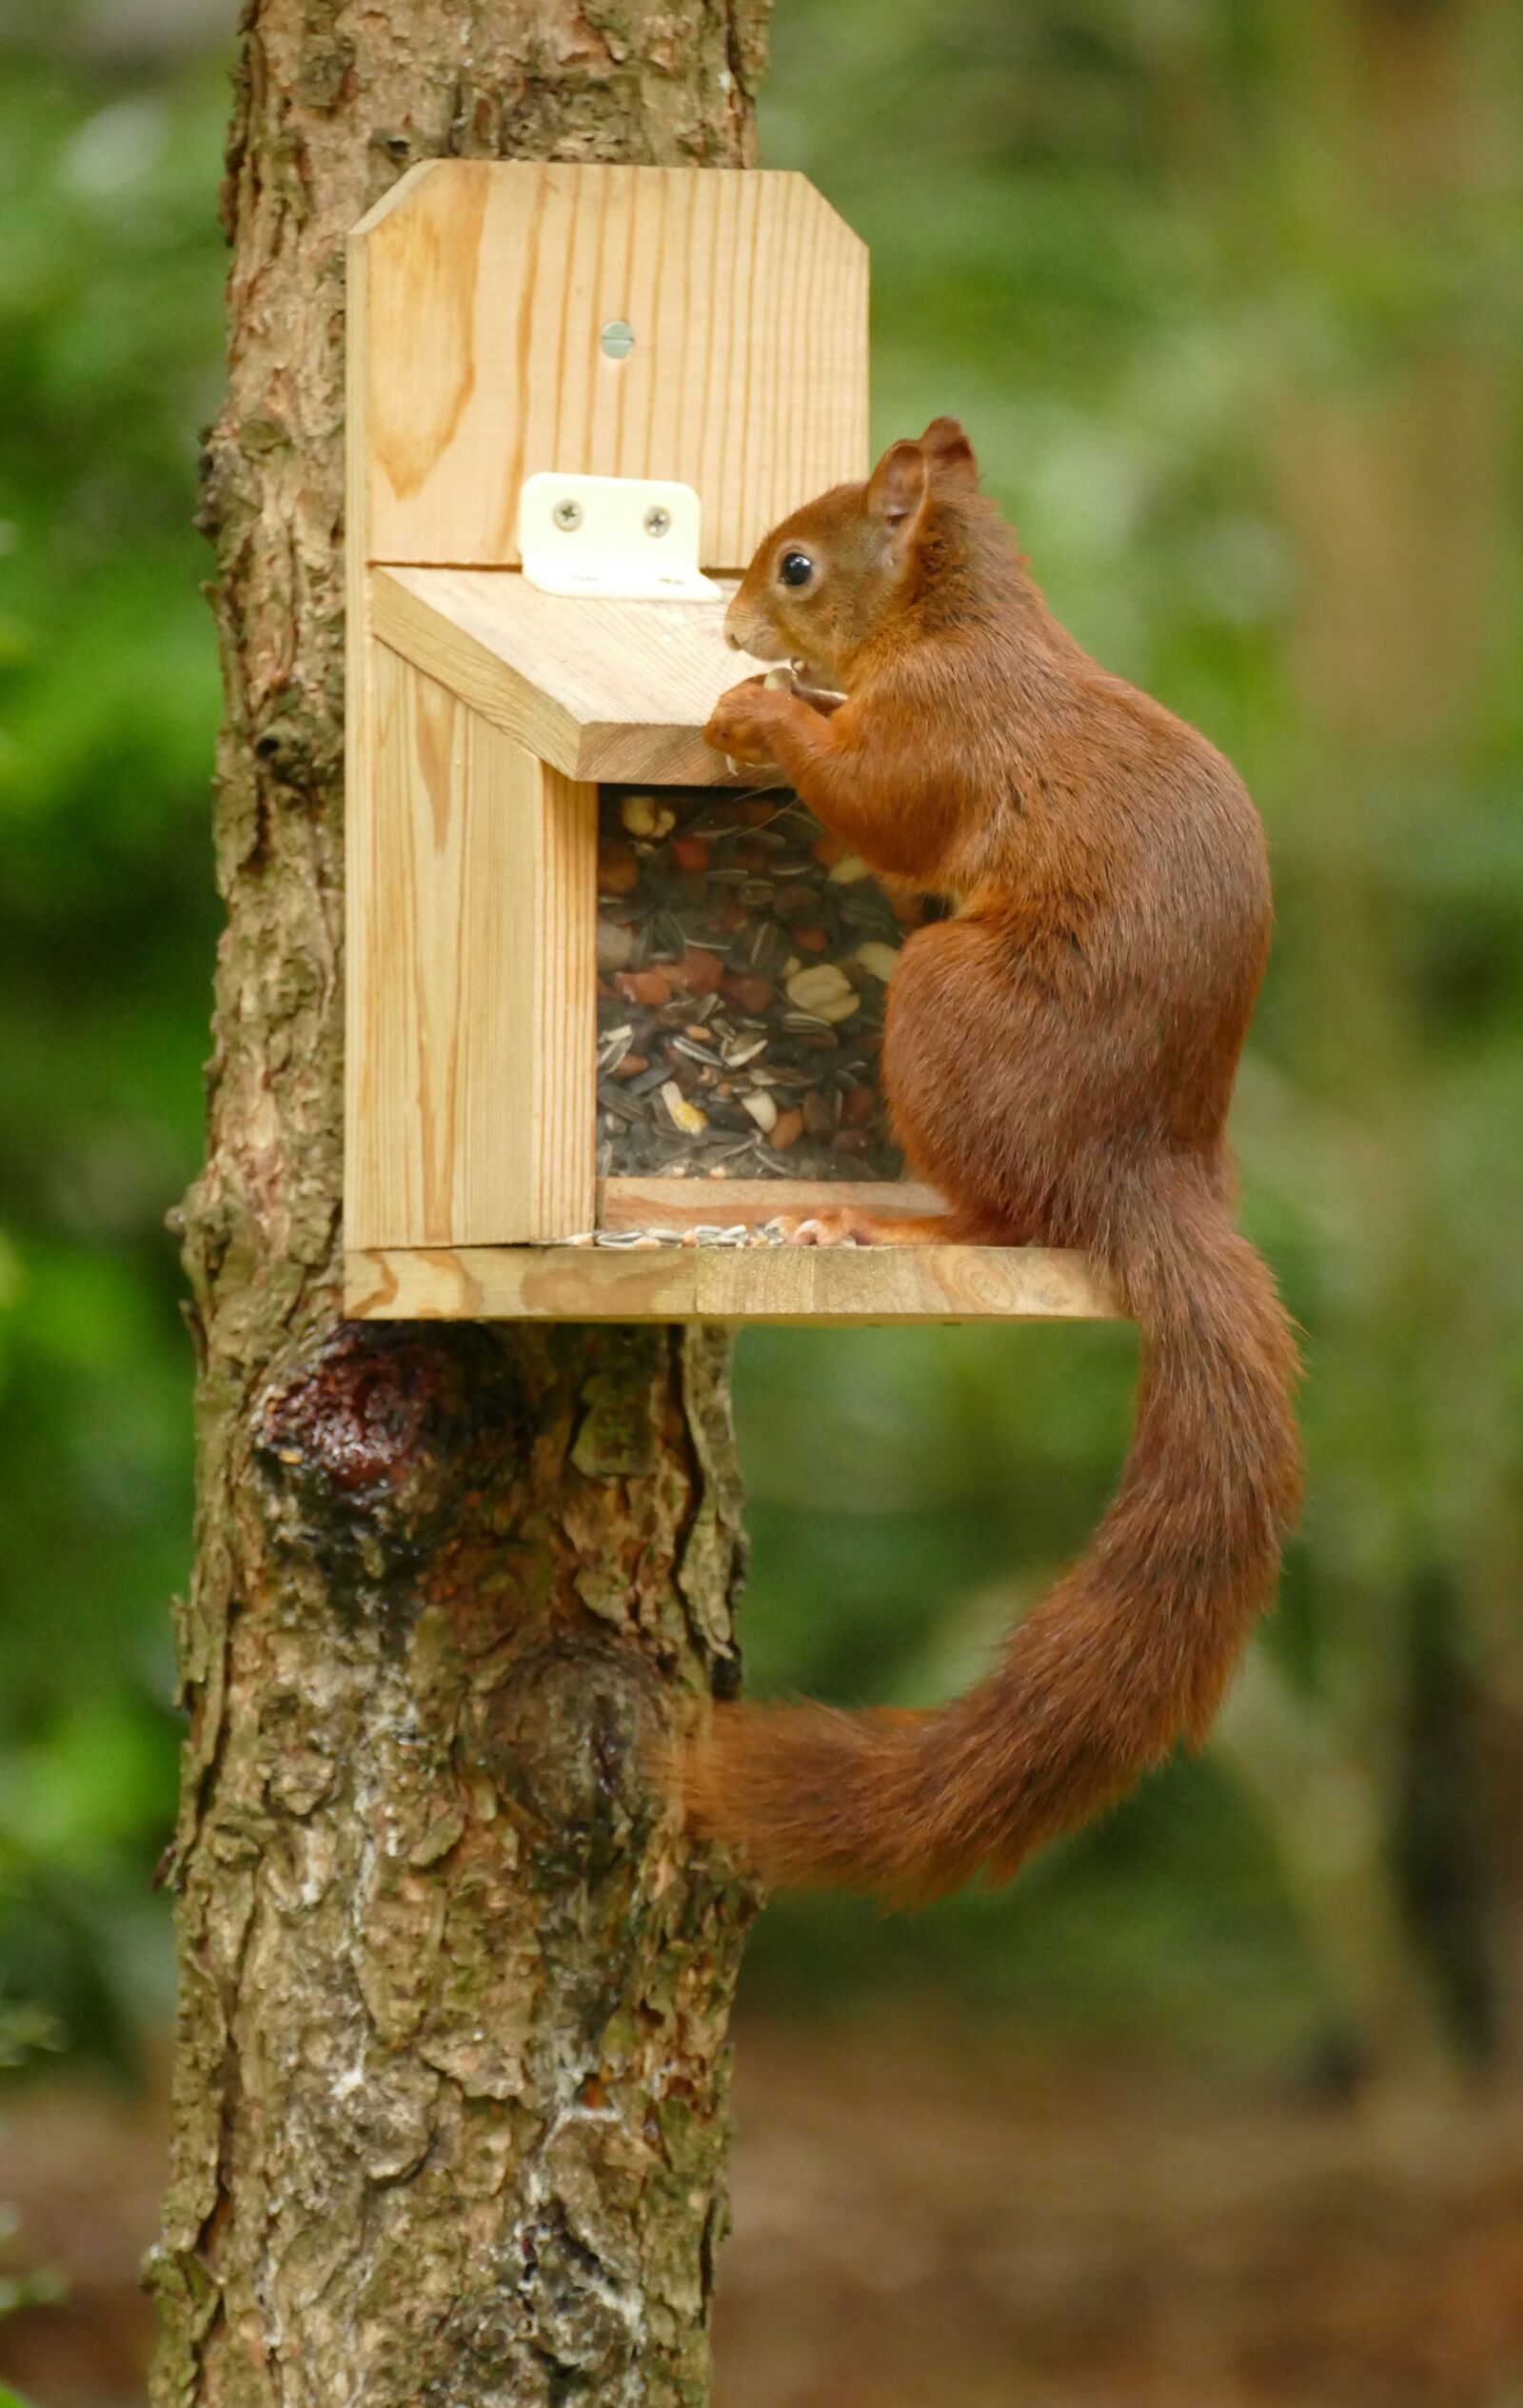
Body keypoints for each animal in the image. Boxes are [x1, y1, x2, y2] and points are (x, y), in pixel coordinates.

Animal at [686, 416, 1303, 1901]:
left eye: (798, 565)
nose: (729, 623)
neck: (952, 622)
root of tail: (1149, 1172)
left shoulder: (940, 734)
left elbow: (871, 799)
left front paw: (765, 712)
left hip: (948, 1008)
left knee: (1006, 1219)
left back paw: (888, 1229)